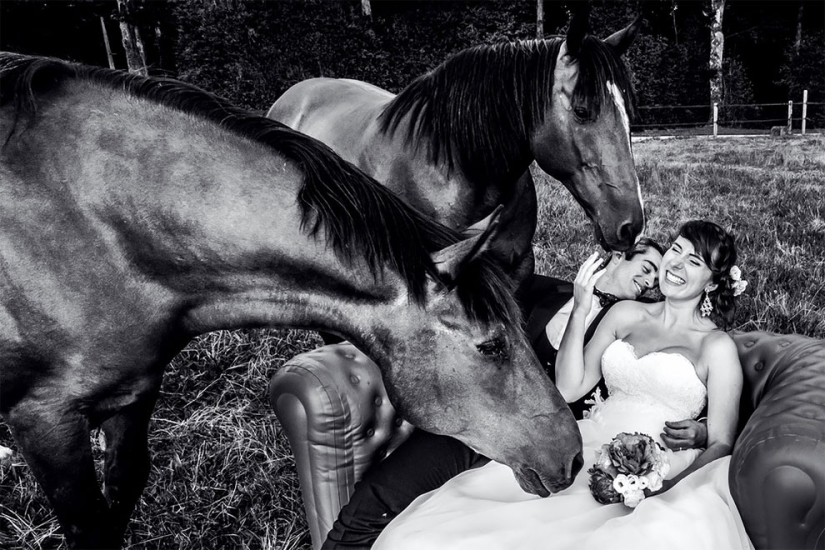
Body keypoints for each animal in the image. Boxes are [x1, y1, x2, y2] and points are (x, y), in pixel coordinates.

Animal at [0, 52, 580, 550]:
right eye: (490, 346)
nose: (573, 457)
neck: (100, 231)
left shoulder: (132, 395)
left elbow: (120, 492)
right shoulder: (47, 422)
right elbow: (90, 526)